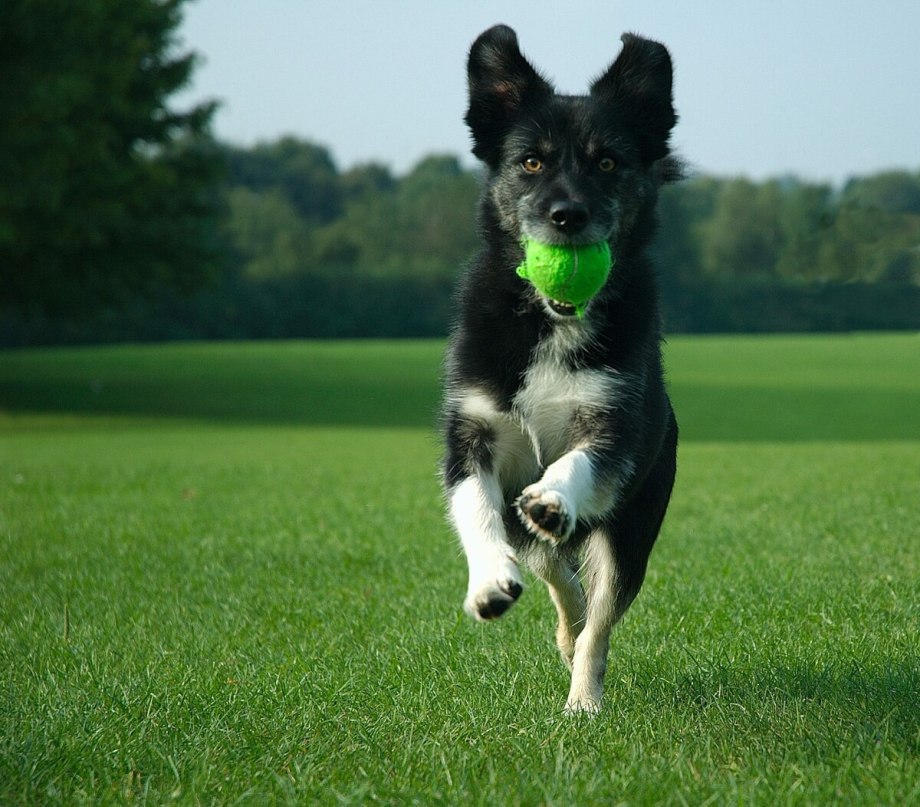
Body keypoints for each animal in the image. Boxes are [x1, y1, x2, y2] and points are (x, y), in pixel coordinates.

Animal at [442, 23, 680, 712]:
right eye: (531, 161)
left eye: (607, 162)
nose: (567, 216)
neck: (552, 320)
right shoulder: (471, 429)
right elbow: (475, 506)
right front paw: (489, 582)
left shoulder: (613, 426)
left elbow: (579, 463)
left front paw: (552, 497)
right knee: (557, 573)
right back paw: (560, 624)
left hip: (632, 530)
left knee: (598, 617)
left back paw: (584, 697)